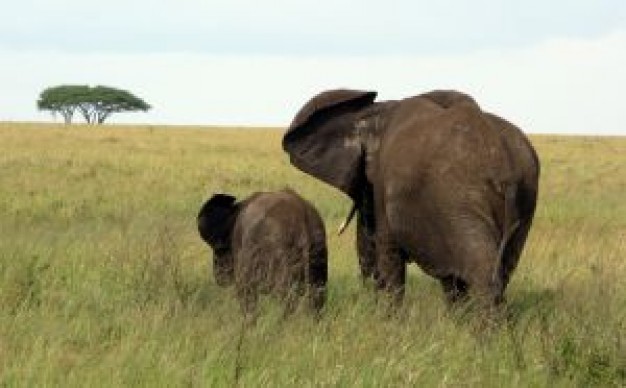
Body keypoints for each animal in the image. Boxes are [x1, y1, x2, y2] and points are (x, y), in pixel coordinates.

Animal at [282, 89, 536, 304]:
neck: (377, 112)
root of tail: (502, 162)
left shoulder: (384, 182)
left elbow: (388, 252)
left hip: (462, 196)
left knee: (483, 272)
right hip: (524, 198)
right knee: (499, 270)